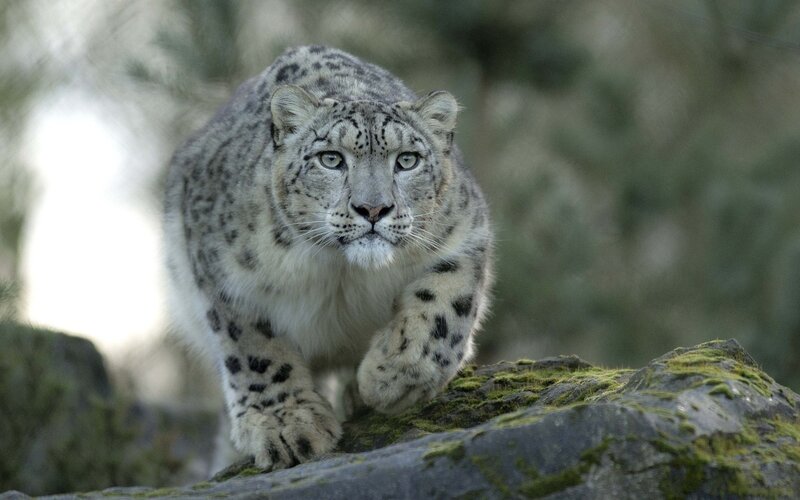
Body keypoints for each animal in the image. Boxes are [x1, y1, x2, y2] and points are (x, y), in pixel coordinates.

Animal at [163, 45, 493, 471]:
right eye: (331, 159)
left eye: (407, 160)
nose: (373, 208)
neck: (342, 272)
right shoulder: (223, 274)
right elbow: (254, 348)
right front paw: (287, 426)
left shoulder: (465, 234)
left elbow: (443, 307)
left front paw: (391, 377)